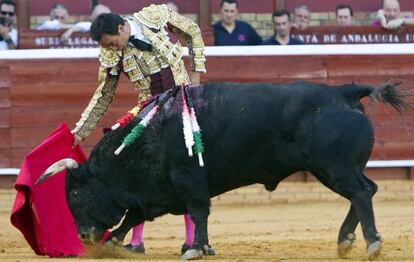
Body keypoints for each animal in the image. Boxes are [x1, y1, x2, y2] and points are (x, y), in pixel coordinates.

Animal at [37, 82, 406, 260]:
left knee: (361, 193)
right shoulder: (158, 191)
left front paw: (196, 249)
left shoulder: (188, 181)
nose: (84, 235)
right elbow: (134, 216)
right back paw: (345, 241)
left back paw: (371, 243)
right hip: (334, 169)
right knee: (366, 191)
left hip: (333, 167)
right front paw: (113, 243)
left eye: (75, 193)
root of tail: (343, 93)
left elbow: (199, 212)